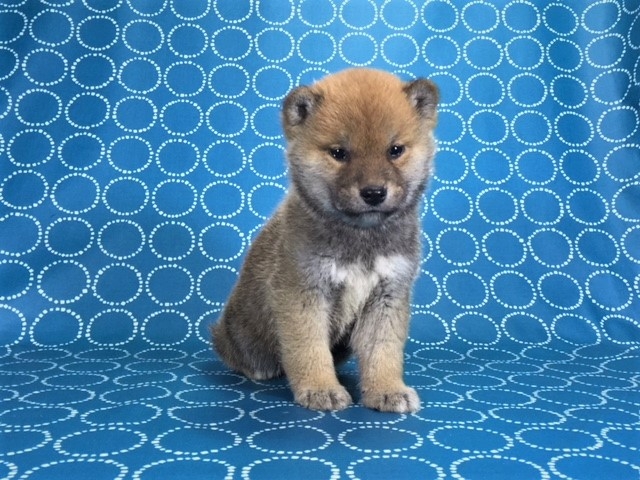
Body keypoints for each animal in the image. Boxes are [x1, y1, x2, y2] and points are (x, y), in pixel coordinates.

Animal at [212, 68, 439, 412]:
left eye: (395, 150)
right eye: (339, 153)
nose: (374, 192)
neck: (360, 237)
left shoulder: (387, 295)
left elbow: (383, 351)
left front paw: (387, 390)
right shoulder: (304, 292)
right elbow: (309, 349)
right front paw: (321, 389)